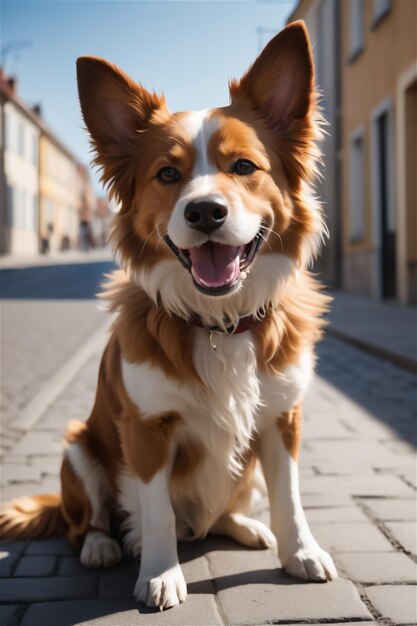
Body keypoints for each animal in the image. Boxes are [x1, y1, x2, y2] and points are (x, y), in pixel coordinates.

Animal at [0, 20, 336, 608]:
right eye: (166, 174)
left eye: (244, 167)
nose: (205, 211)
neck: (219, 321)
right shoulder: (146, 428)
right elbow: (155, 513)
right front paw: (159, 574)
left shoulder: (282, 418)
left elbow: (291, 496)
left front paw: (300, 553)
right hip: (79, 449)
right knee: (83, 522)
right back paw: (104, 546)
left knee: (217, 516)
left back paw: (245, 527)